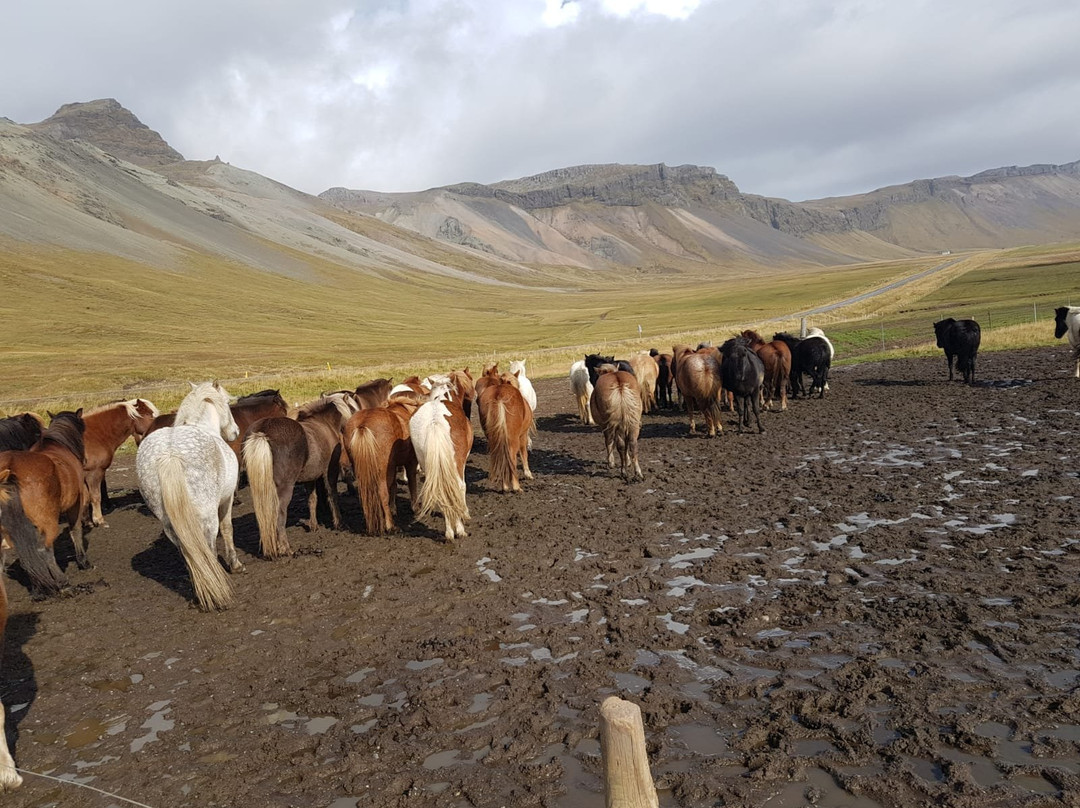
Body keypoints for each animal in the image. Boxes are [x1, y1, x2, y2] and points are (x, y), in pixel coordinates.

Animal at [0, 410, 87, 598]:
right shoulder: (76, 504)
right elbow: (75, 530)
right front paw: (83, 562)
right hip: (48, 523)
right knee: (44, 550)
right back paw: (62, 582)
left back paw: (38, 589)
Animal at [81, 398, 159, 527]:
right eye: (149, 414)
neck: (93, 435)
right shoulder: (94, 473)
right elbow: (96, 496)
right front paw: (99, 520)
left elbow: (86, 499)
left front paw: (87, 522)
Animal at [135, 382, 241, 611]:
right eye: (227, 403)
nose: (235, 432)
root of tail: (169, 455)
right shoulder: (227, 500)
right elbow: (228, 529)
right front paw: (235, 564)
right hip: (207, 517)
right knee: (208, 548)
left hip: (171, 524)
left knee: (190, 554)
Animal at [243, 395, 354, 559]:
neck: (325, 424)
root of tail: (262, 433)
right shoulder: (329, 473)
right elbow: (332, 496)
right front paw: (339, 523)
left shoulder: (310, 478)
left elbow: (312, 500)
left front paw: (313, 525)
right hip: (284, 488)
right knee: (279, 514)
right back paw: (285, 548)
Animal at [343, 399, 421, 534]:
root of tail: (363, 425)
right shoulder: (410, 463)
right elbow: (412, 484)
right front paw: (415, 508)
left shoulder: (393, 465)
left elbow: (394, 485)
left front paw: (393, 508)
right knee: (382, 493)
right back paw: (390, 525)